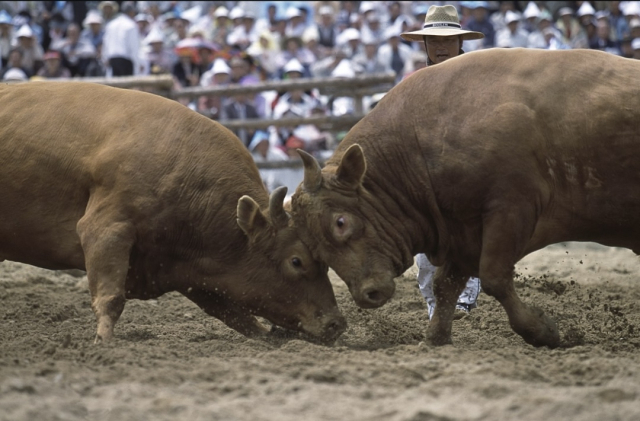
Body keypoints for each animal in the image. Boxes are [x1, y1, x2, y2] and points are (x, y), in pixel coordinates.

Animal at [0, 81, 344, 342]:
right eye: (296, 261)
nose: (336, 324)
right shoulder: (106, 229)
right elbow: (110, 298)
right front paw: (104, 343)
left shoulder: (191, 270)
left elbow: (234, 313)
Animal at [292, 47, 640, 346]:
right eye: (312, 247)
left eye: (340, 222)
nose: (368, 295)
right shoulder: (461, 229)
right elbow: (445, 285)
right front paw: (436, 338)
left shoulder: (510, 209)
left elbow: (494, 278)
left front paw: (542, 331)